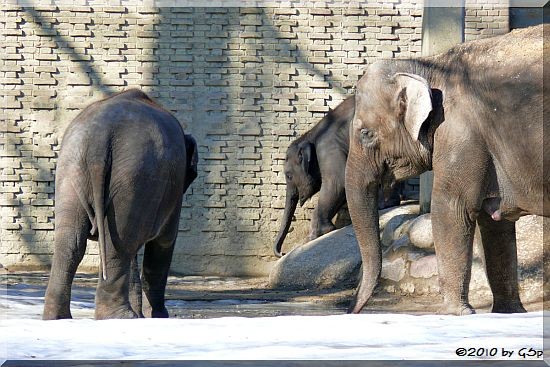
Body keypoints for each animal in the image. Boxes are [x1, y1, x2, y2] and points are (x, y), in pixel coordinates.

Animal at [43, 90, 198, 320]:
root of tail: (99, 136)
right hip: (134, 177)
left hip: (71, 172)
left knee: (72, 242)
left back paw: (59, 319)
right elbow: (164, 241)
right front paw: (158, 317)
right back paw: (121, 317)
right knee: (121, 244)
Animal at [274, 96, 402, 258]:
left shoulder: (328, 148)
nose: (282, 253)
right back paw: (388, 204)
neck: (312, 134)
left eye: (289, 176)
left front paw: (315, 235)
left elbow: (338, 182)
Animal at [348, 25, 544, 316]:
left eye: (366, 134)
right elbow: (493, 222)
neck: (430, 64)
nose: (351, 309)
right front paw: (508, 313)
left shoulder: (460, 133)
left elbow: (451, 208)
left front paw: (458, 312)